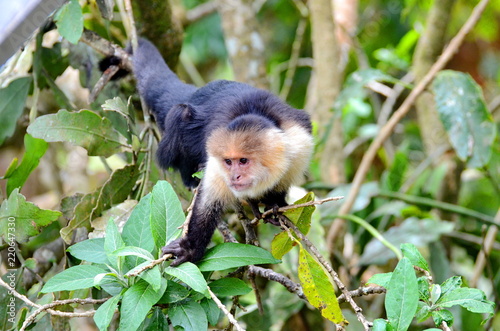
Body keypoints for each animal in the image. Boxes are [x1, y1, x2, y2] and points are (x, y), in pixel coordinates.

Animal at [114, 39, 314, 268]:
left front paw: (274, 202)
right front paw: (191, 248)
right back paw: (190, 178)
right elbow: (207, 203)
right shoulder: (216, 154)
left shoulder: (300, 143)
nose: (234, 176)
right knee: (181, 115)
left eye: (243, 161)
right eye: (228, 162)